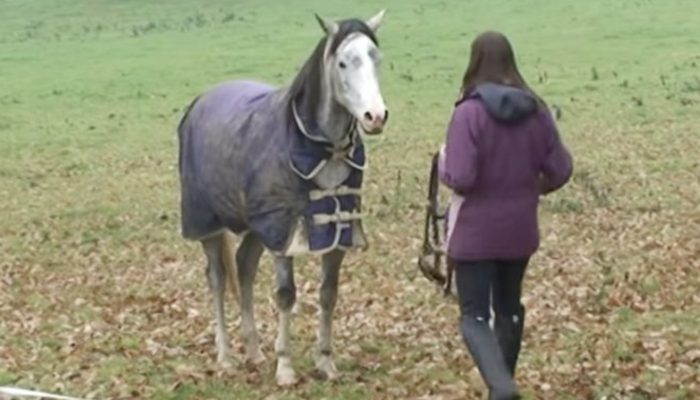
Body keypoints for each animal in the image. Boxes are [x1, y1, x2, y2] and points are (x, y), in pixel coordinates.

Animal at [176, 11, 388, 386]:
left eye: (376, 58)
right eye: (343, 62)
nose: (375, 117)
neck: (324, 151)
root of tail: (201, 100)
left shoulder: (336, 234)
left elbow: (328, 294)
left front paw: (325, 362)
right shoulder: (284, 235)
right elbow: (286, 296)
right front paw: (286, 368)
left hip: (256, 228)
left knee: (244, 268)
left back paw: (255, 351)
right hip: (210, 226)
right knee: (217, 279)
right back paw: (226, 355)